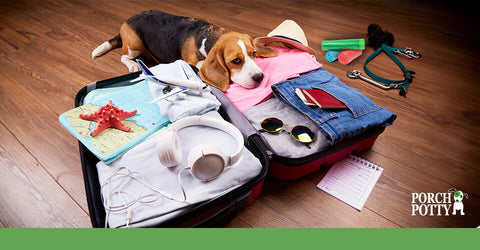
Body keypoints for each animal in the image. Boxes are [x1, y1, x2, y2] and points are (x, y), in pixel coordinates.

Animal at [92, 10, 278, 92]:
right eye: (236, 61)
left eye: (254, 54)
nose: (260, 77)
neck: (208, 36)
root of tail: (129, 19)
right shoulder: (192, 61)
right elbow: (201, 65)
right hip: (134, 45)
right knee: (124, 56)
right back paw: (132, 65)